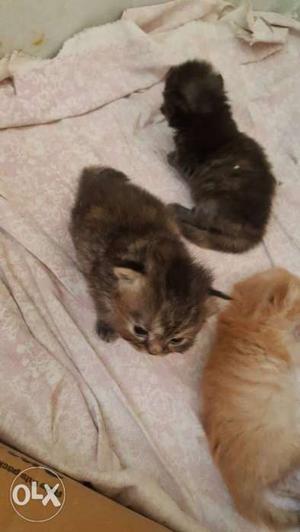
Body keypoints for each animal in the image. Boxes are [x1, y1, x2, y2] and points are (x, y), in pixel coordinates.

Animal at [70, 166, 226, 356]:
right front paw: (108, 324)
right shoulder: (99, 276)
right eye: (140, 330)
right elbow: (103, 304)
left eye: (176, 340)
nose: (154, 352)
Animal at [161, 59, 276, 255]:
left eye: (166, 98)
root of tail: (256, 232)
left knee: (199, 219)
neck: (211, 116)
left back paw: (177, 210)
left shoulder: (187, 160)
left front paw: (170, 155)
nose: (160, 109)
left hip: (211, 202)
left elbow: (177, 159)